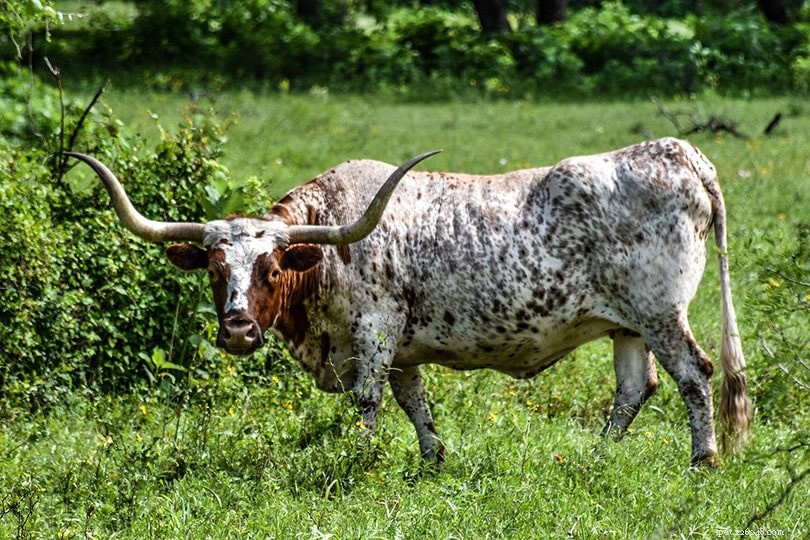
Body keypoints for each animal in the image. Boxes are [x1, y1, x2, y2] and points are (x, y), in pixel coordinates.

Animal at [67, 137, 752, 466]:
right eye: (214, 268)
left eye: (269, 266)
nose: (237, 329)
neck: (330, 245)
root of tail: (678, 152)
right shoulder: (401, 347)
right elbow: (412, 400)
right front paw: (433, 458)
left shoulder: (373, 331)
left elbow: (369, 402)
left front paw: (360, 462)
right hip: (625, 325)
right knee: (636, 389)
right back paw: (595, 457)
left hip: (662, 313)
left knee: (695, 375)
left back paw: (703, 460)